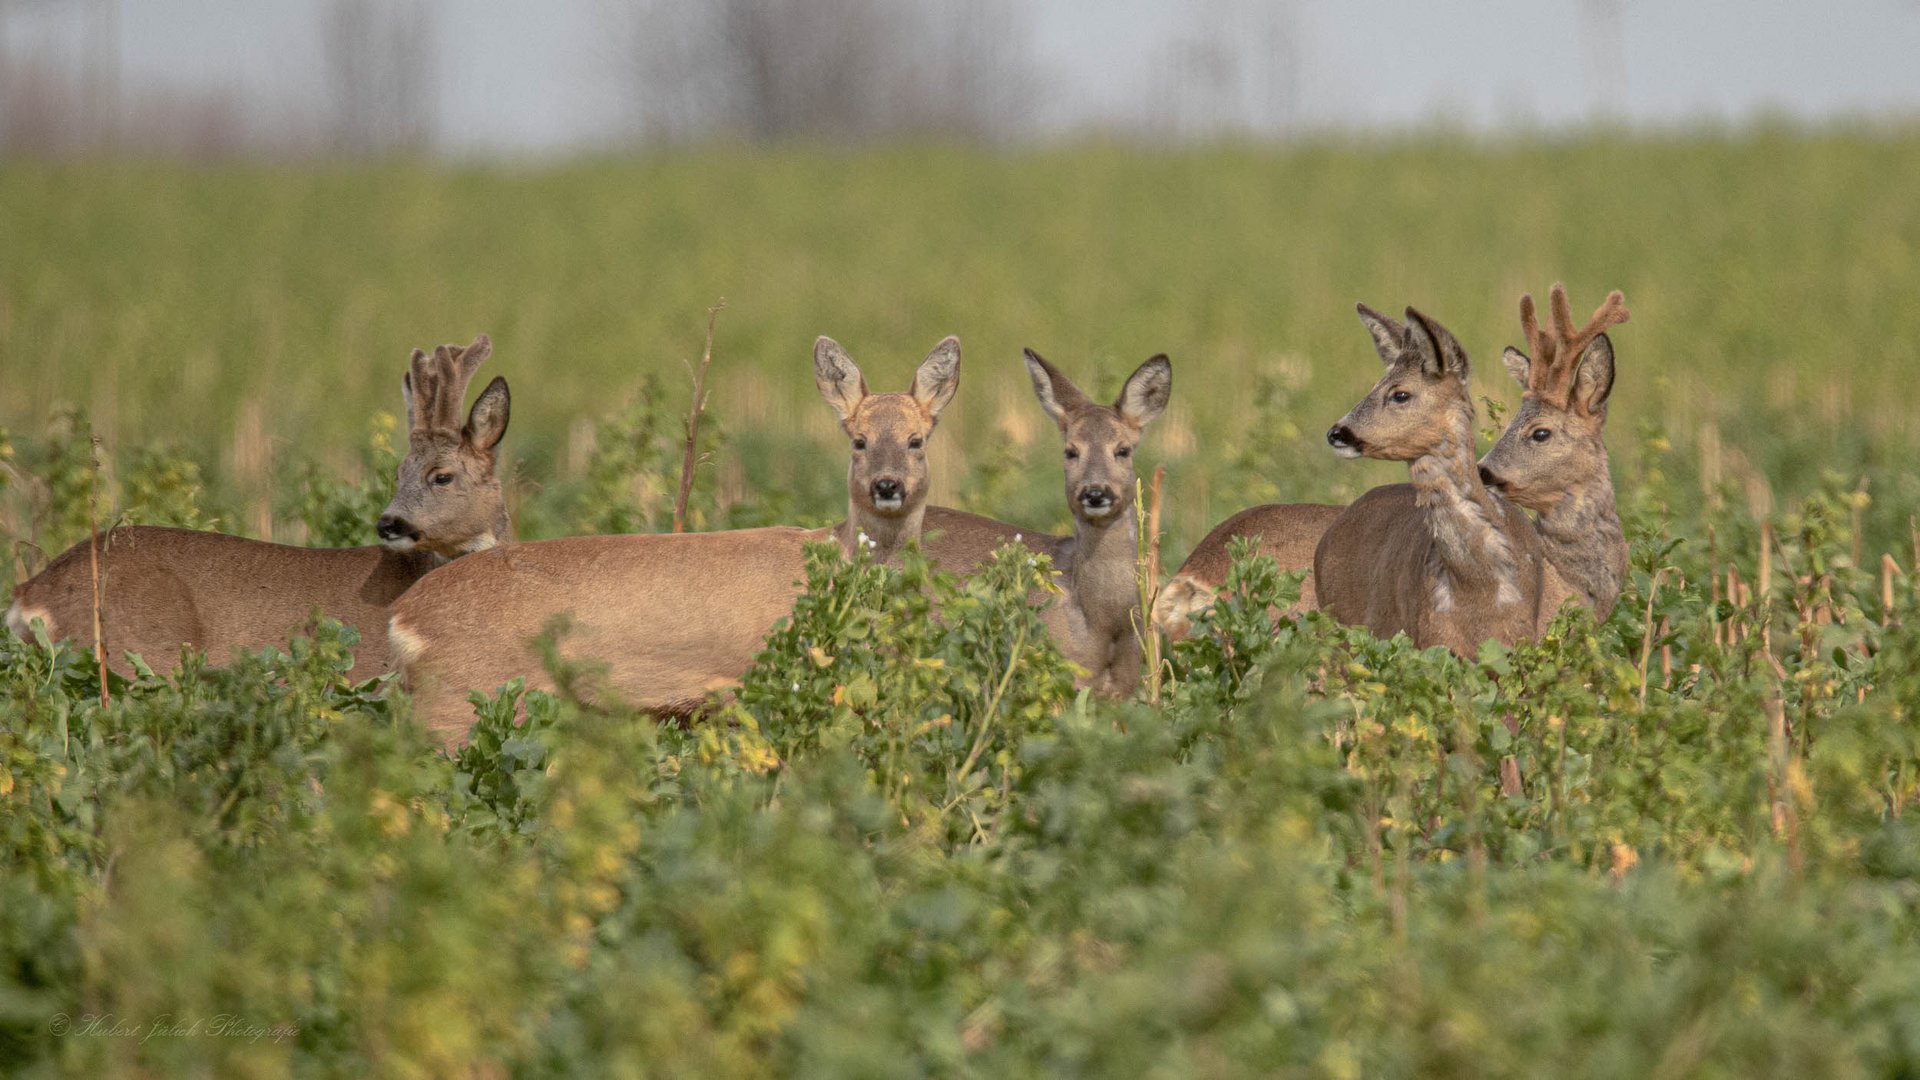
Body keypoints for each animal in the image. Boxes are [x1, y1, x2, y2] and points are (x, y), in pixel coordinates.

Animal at [384, 334, 967, 737]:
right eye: (858, 441)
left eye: (916, 440)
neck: (835, 552)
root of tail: (401, 618)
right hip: (462, 699)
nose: (886, 486)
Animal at [1313, 303, 1551, 657]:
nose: (1336, 433)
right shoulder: (1432, 638)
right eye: (1374, 385)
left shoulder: (1519, 641)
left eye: (1400, 394)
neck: (1479, 589)